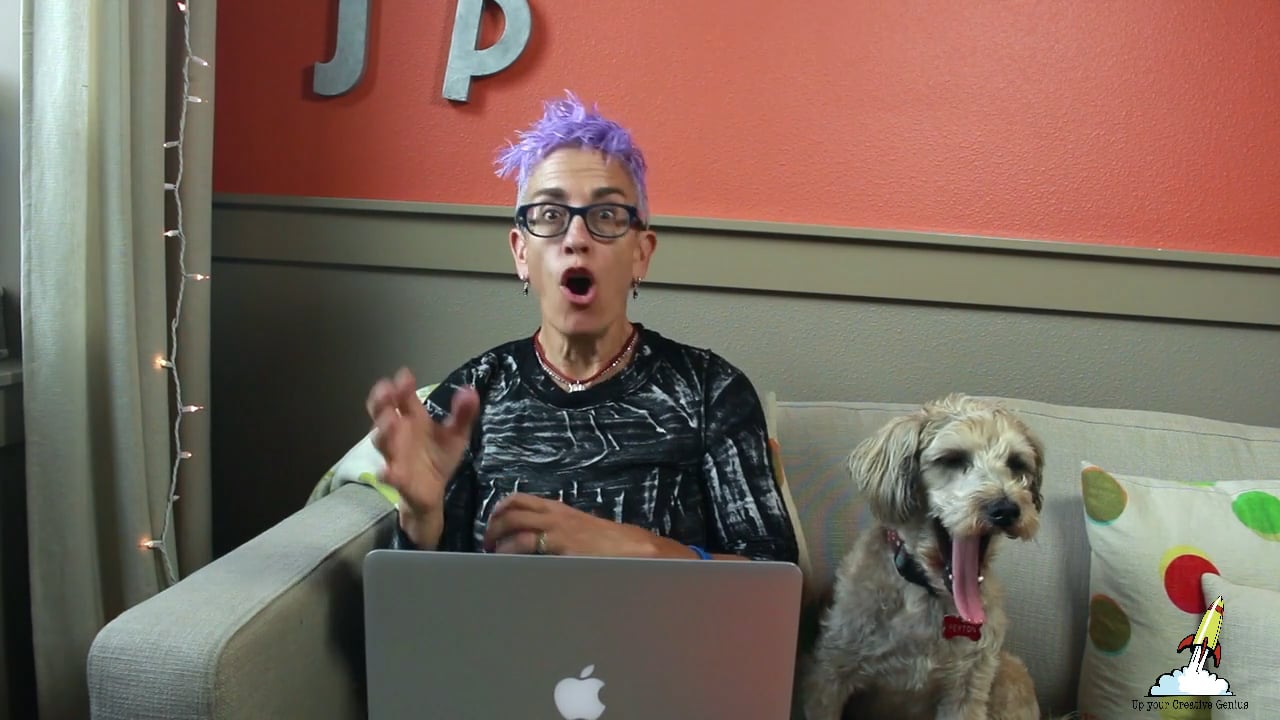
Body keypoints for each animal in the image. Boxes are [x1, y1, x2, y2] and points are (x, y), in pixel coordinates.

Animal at [798, 394, 1049, 712]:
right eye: (952, 459)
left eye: (1016, 464)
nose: (1005, 509)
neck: (928, 593)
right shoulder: (830, 674)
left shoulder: (968, 686)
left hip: (1009, 672)